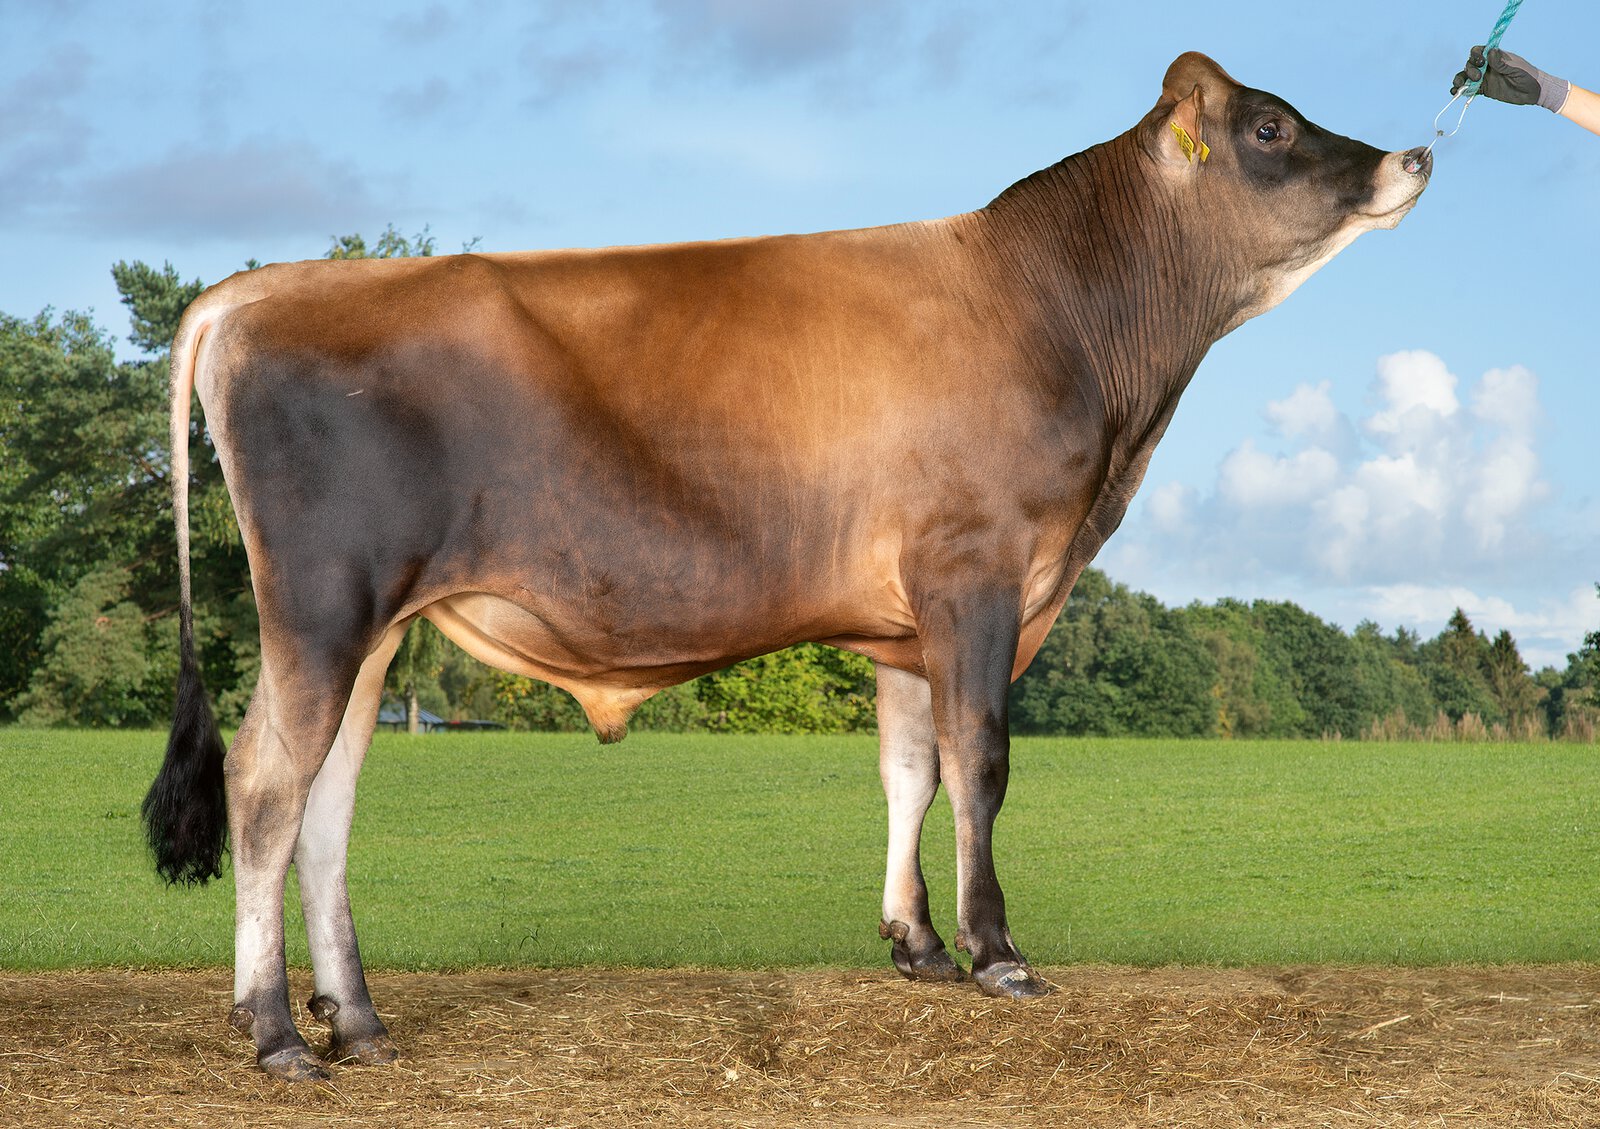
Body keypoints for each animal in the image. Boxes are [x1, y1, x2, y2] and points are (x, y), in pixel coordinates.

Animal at [144, 53, 1431, 1081]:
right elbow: (980, 763)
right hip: (322, 604)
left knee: (327, 803)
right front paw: (997, 953)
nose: (1412, 154)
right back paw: (276, 1033)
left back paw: (358, 1020)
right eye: (1270, 127)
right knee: (265, 785)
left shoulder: (908, 619)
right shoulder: (977, 571)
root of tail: (260, 288)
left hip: (374, 625)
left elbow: (910, 770)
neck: (1062, 318)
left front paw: (917, 945)